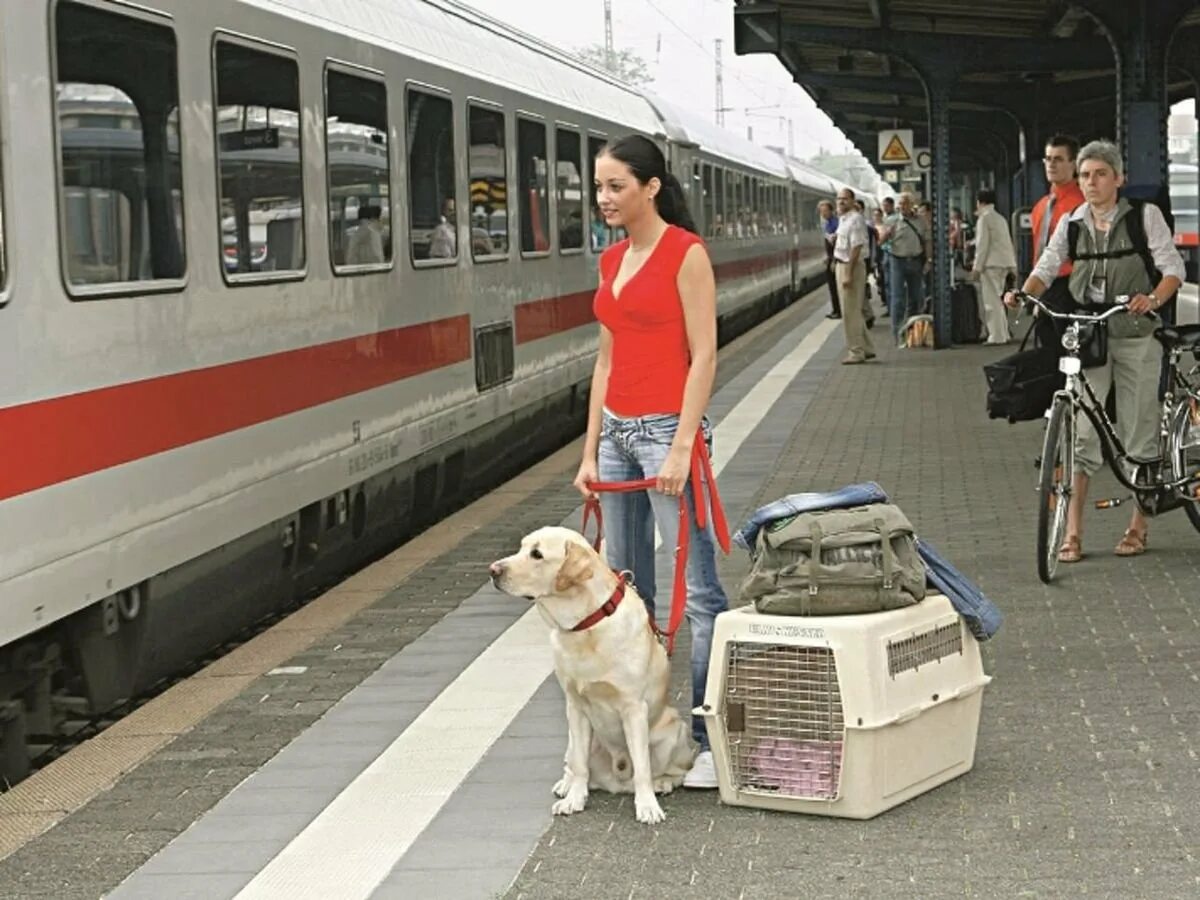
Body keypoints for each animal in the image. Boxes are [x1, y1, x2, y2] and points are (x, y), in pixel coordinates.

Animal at [487, 525, 696, 830]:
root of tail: (615, 782)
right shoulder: (575, 706)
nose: (492, 570)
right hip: (573, 738)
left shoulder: (634, 708)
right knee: (574, 762)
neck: (586, 625)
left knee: (672, 769)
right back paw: (566, 784)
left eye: (537, 554)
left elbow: (642, 767)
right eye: (522, 547)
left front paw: (647, 806)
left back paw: (663, 784)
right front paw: (574, 798)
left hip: (674, 732)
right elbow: (580, 765)